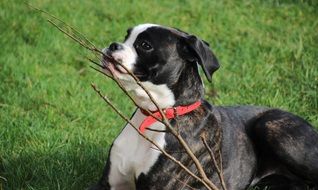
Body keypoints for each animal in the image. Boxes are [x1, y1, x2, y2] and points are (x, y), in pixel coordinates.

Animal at [89, 24, 318, 190]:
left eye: (145, 45)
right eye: (126, 36)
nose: (113, 45)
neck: (156, 114)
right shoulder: (107, 184)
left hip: (270, 126)